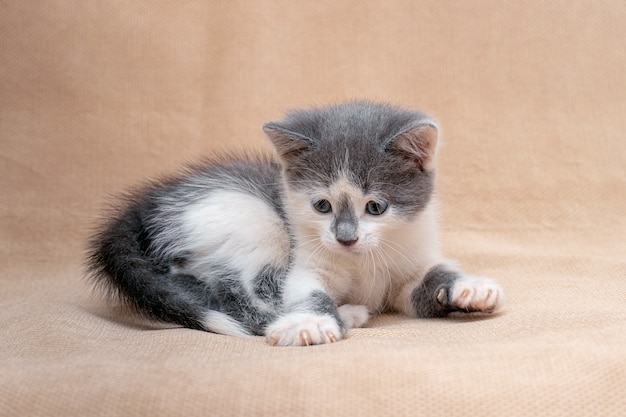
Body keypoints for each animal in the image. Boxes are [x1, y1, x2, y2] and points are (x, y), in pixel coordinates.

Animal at [86, 100, 502, 344]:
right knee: (239, 290)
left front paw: (470, 288)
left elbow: (422, 284)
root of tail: (144, 204)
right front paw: (311, 322)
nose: (346, 238)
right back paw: (346, 313)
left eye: (376, 207)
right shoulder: (306, 262)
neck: (362, 261)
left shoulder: (407, 262)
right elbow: (302, 288)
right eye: (322, 205)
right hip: (248, 218)